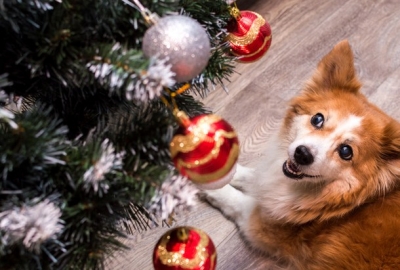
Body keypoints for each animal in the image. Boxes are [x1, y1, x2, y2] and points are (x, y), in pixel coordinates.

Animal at [205, 40, 400, 270]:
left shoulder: (262, 225)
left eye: (346, 151)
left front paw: (210, 187)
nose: (302, 154)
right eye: (317, 119)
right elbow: (253, 175)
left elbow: (235, 201)